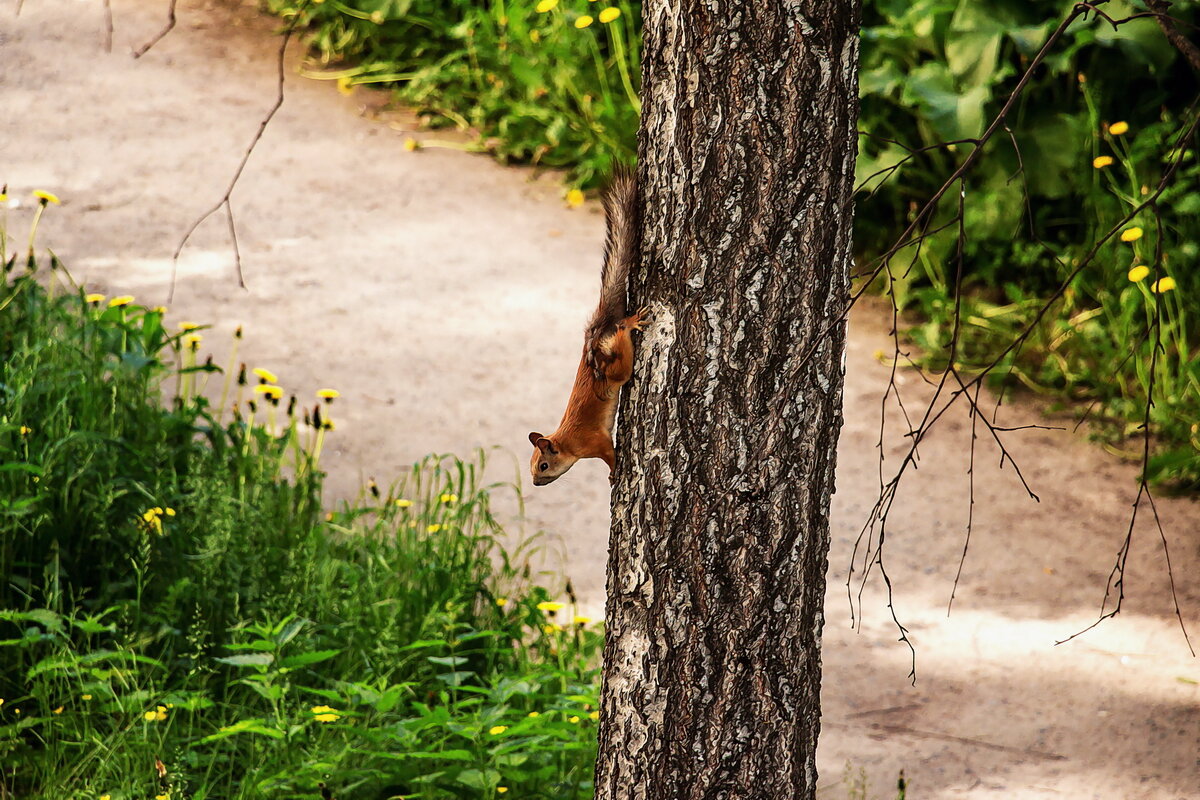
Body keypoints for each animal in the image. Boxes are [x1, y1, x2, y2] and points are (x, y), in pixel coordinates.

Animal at [530, 165, 648, 484]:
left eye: (542, 465)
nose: (534, 483)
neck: (567, 442)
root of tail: (596, 333)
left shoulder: (594, 441)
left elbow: (610, 455)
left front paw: (613, 474)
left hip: (614, 369)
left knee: (622, 347)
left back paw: (628, 323)